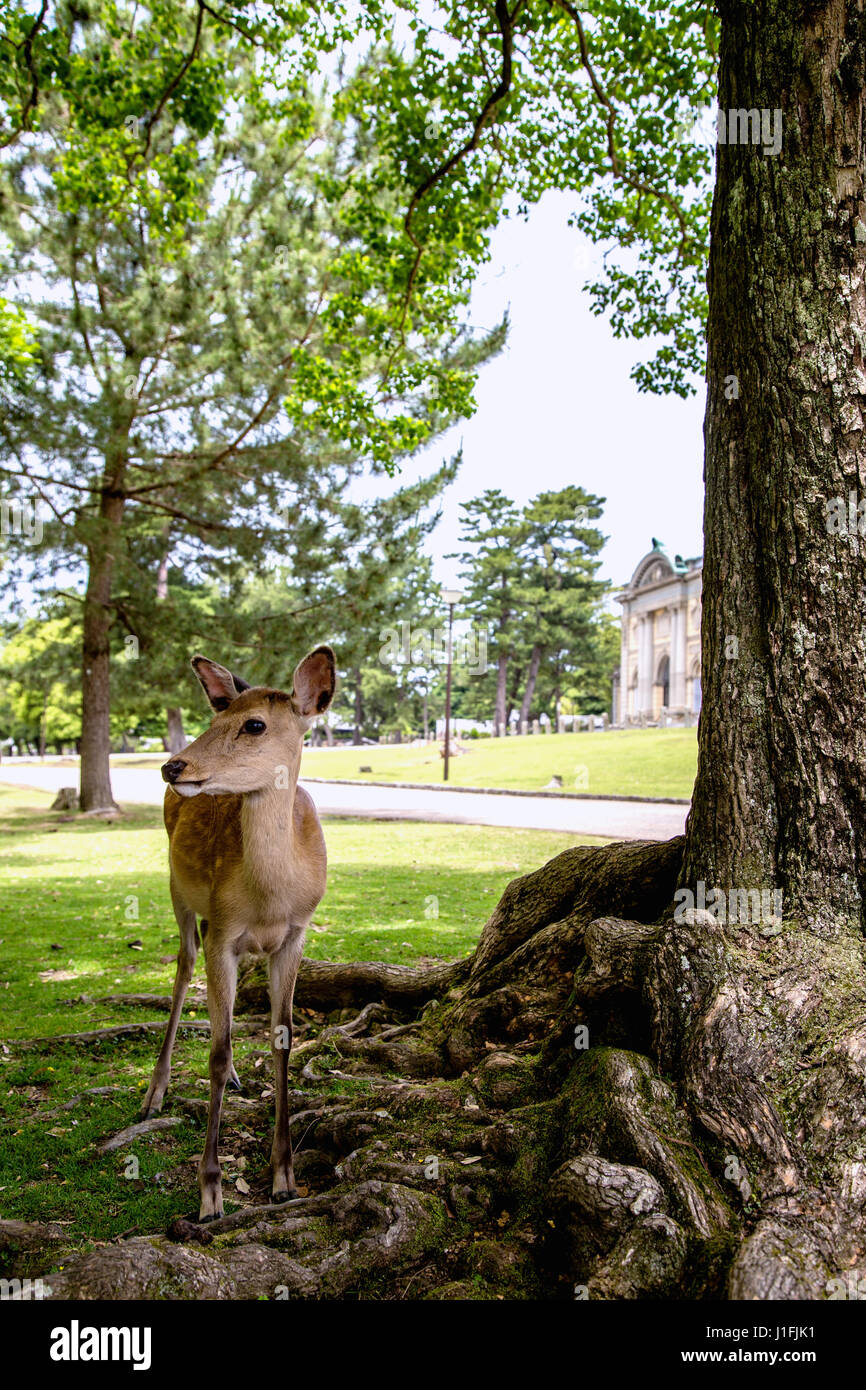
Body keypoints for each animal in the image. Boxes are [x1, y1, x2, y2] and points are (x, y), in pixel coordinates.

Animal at [142, 644, 335, 1223]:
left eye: (254, 724)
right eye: (213, 719)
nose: (173, 765)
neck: (269, 897)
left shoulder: (297, 934)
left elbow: (283, 1038)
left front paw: (284, 1178)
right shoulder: (224, 930)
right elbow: (219, 1048)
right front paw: (210, 1194)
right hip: (178, 889)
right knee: (184, 965)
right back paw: (153, 1094)